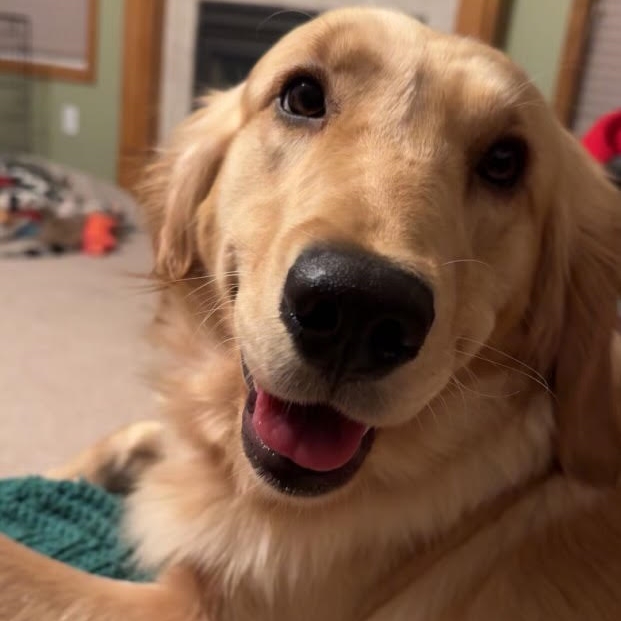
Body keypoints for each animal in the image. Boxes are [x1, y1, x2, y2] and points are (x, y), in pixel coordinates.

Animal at [2, 7, 621, 620]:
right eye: (302, 96)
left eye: (504, 162)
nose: (359, 308)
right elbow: (138, 429)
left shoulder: (188, 608)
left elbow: (20, 565)